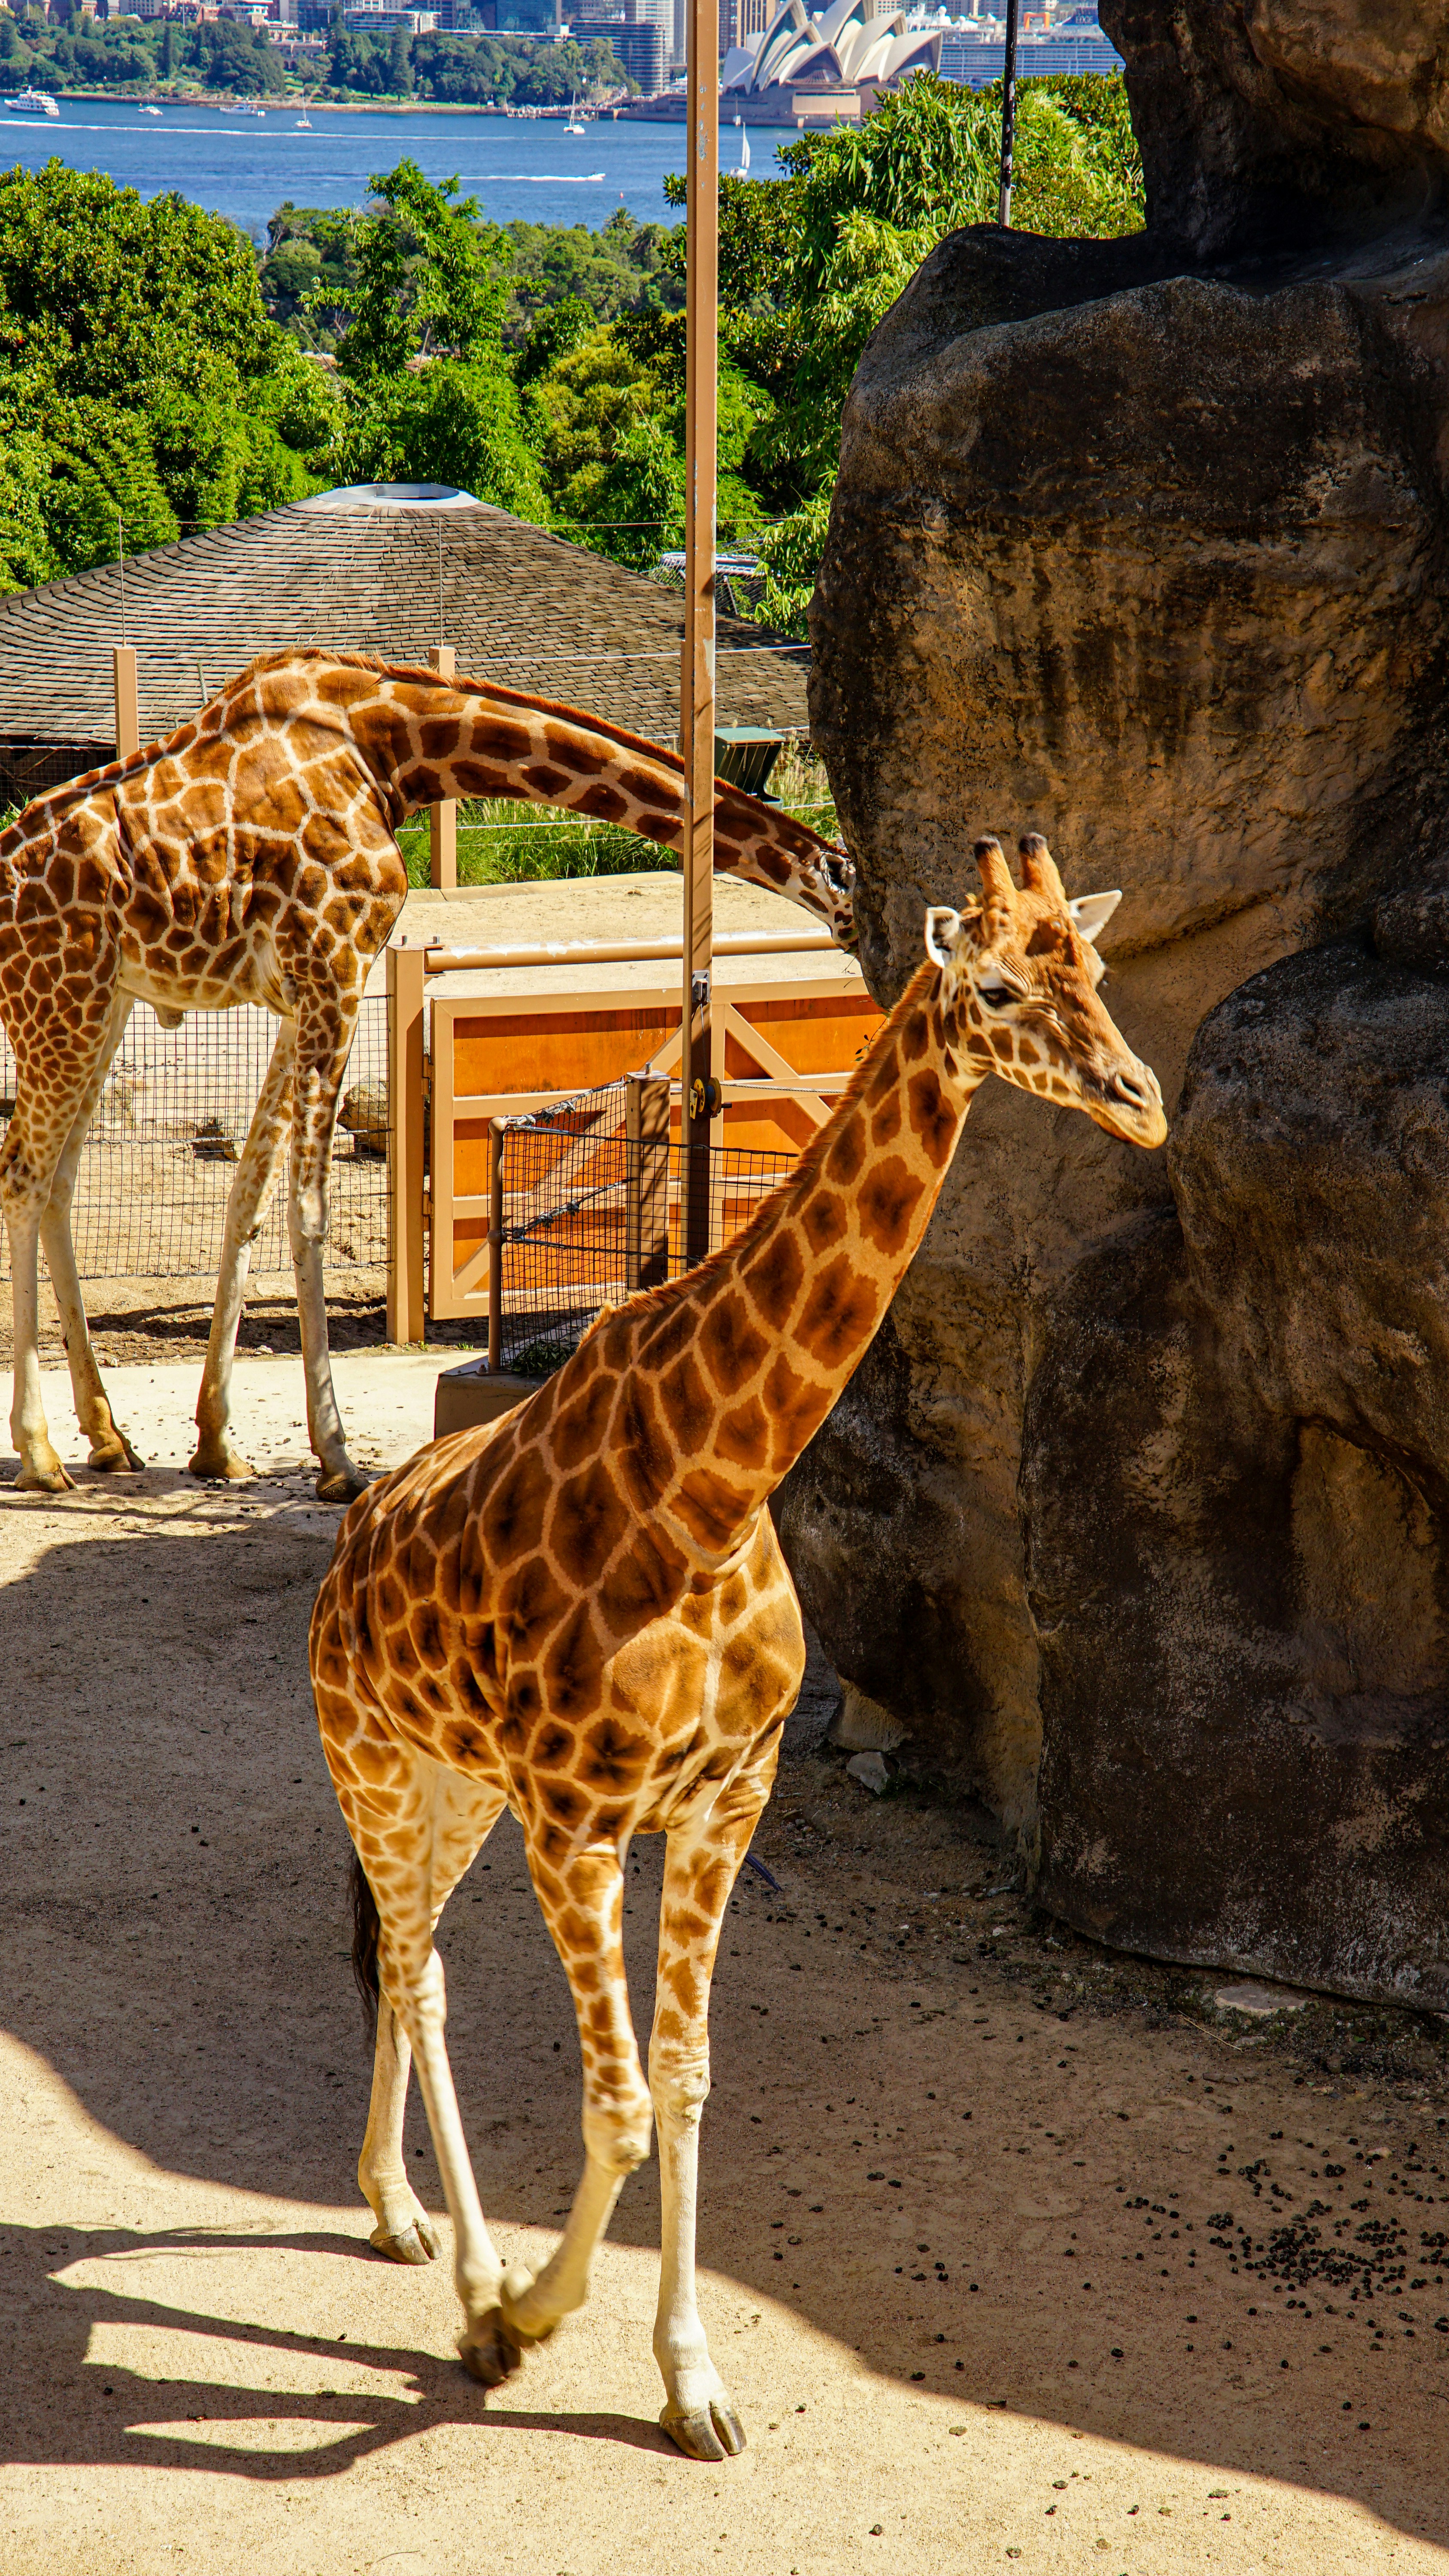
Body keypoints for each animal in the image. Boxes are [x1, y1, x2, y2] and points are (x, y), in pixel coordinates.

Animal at [0, 648, 854, 1503]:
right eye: (850, 892)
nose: (865, 961)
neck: (390, 745)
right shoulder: (336, 966)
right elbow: (306, 1209)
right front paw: (338, 1460)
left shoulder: (297, 992)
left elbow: (248, 1193)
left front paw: (216, 1445)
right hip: (59, 994)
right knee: (23, 1175)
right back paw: (42, 1453)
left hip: (105, 1001)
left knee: (62, 1180)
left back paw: (109, 1437)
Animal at [308, 832, 1168, 2461]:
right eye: (1000, 987)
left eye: (1095, 966)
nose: (1141, 1098)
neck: (708, 1491)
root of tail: (353, 1538)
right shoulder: (579, 1825)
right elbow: (622, 2103)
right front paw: (526, 2318)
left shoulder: (721, 1800)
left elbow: (690, 2083)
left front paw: (690, 2379)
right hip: (376, 1767)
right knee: (417, 1967)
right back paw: (465, 2275)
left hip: (456, 1788)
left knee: (406, 1957)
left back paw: (394, 2213)